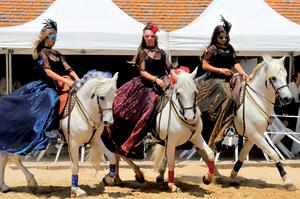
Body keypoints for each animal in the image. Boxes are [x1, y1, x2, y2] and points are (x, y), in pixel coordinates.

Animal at [157, 55, 296, 190]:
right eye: (273, 78)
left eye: (285, 76)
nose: (287, 98)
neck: (256, 99)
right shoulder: (254, 134)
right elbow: (274, 154)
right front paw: (288, 181)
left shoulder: (253, 136)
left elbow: (241, 157)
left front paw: (233, 177)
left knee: (200, 150)